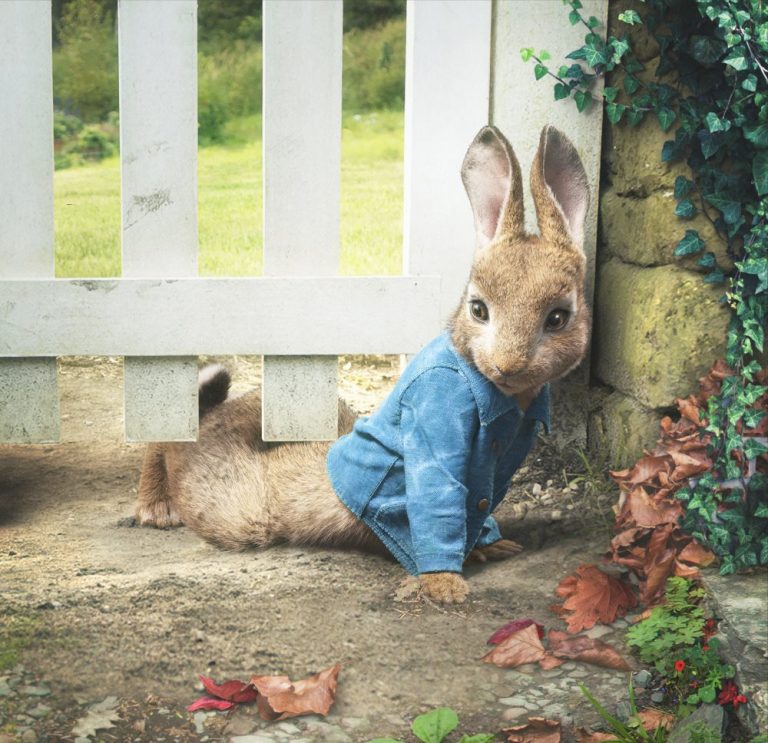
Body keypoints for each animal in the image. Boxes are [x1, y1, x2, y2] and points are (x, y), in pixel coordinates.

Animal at [135, 124, 591, 605]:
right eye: (479, 310)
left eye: (558, 318)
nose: (508, 364)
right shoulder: (437, 424)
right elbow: (439, 503)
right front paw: (444, 585)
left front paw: (494, 545)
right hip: (234, 505)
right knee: (173, 442)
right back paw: (157, 507)